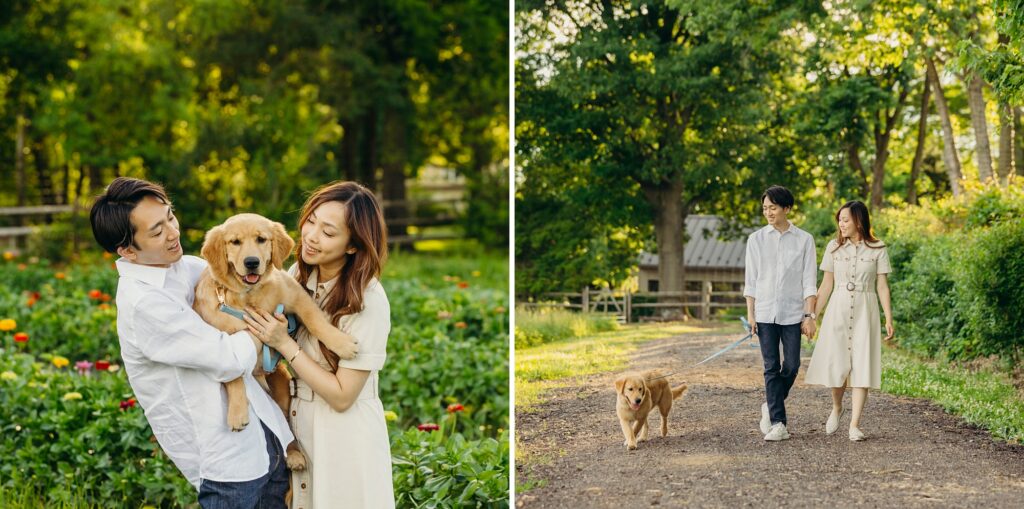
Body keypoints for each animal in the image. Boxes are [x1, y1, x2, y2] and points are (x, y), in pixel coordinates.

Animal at [193, 210, 358, 469]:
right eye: (235, 242)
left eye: (261, 239)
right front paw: (237, 414)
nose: (251, 262)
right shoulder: (224, 344)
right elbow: (234, 378)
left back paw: (295, 456)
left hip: (282, 388)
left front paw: (341, 343)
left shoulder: (295, 295)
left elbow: (315, 320)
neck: (249, 296)